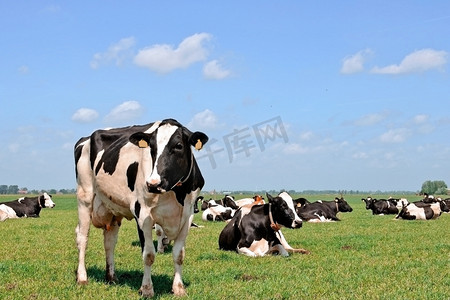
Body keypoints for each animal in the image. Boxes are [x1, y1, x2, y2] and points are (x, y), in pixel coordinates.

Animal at [74, 119, 207, 298]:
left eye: (178, 145)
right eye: (152, 148)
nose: (153, 184)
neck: (176, 193)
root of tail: (86, 138)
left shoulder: (187, 215)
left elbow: (179, 254)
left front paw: (179, 288)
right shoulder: (142, 214)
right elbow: (148, 255)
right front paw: (147, 289)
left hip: (112, 209)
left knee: (109, 242)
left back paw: (111, 277)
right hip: (85, 196)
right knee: (82, 237)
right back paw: (82, 277)